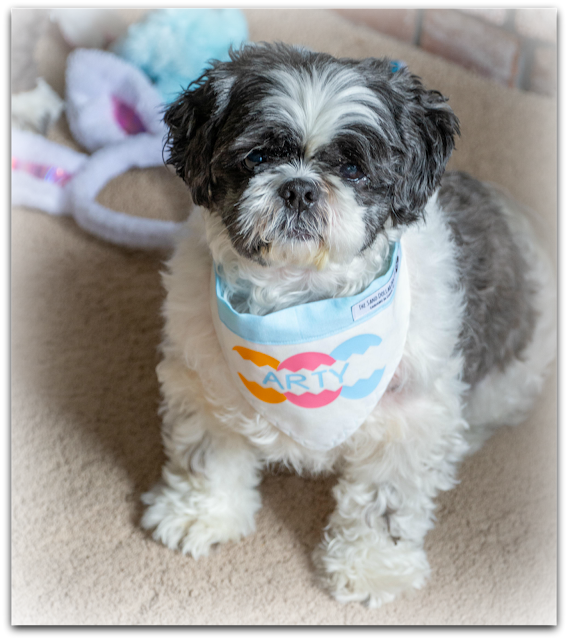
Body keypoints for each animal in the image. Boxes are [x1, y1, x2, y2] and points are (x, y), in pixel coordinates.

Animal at [141, 43, 556, 607]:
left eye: (354, 168)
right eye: (258, 158)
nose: (299, 189)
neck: (300, 302)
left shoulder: (406, 422)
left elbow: (385, 504)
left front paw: (372, 568)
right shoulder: (206, 383)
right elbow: (207, 455)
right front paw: (201, 513)